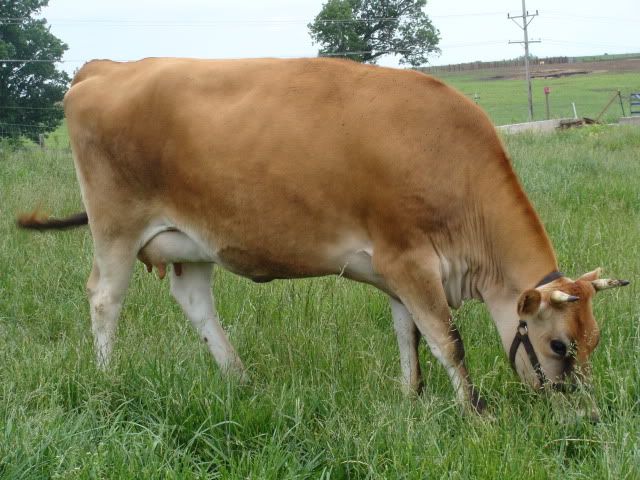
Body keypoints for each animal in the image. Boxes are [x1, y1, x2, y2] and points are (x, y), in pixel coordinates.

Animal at [18, 57, 628, 412]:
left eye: (594, 341)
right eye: (559, 345)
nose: (583, 411)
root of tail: (107, 66)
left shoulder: (396, 270)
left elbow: (408, 335)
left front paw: (411, 399)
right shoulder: (410, 261)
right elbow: (446, 340)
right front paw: (475, 412)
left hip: (190, 241)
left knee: (195, 303)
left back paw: (240, 381)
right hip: (116, 228)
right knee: (105, 298)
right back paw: (107, 378)